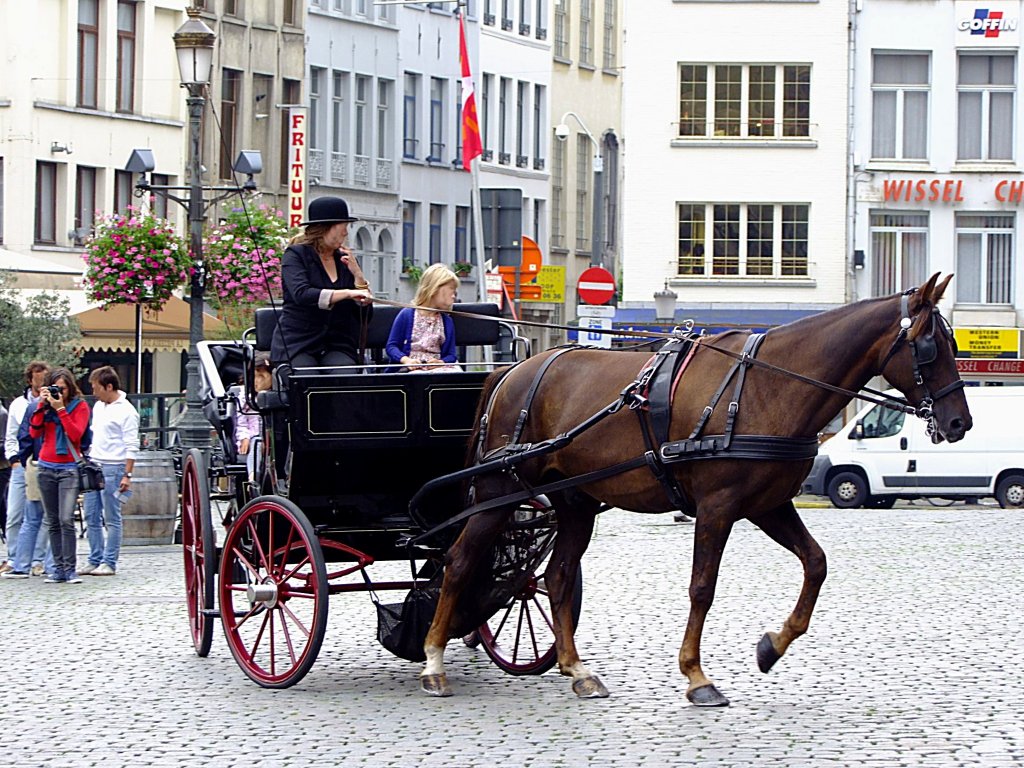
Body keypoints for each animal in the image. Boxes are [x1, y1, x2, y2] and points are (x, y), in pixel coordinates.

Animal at [419, 274, 970, 708]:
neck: (769, 386)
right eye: (929, 347)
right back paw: (433, 663)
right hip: (500, 489)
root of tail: (510, 370)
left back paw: (578, 671)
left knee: (554, 577)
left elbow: (815, 564)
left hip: (576, 502)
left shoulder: (769, 505)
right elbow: (702, 587)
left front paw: (771, 647)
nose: (959, 422)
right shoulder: (716, 507)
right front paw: (696, 676)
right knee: (461, 562)